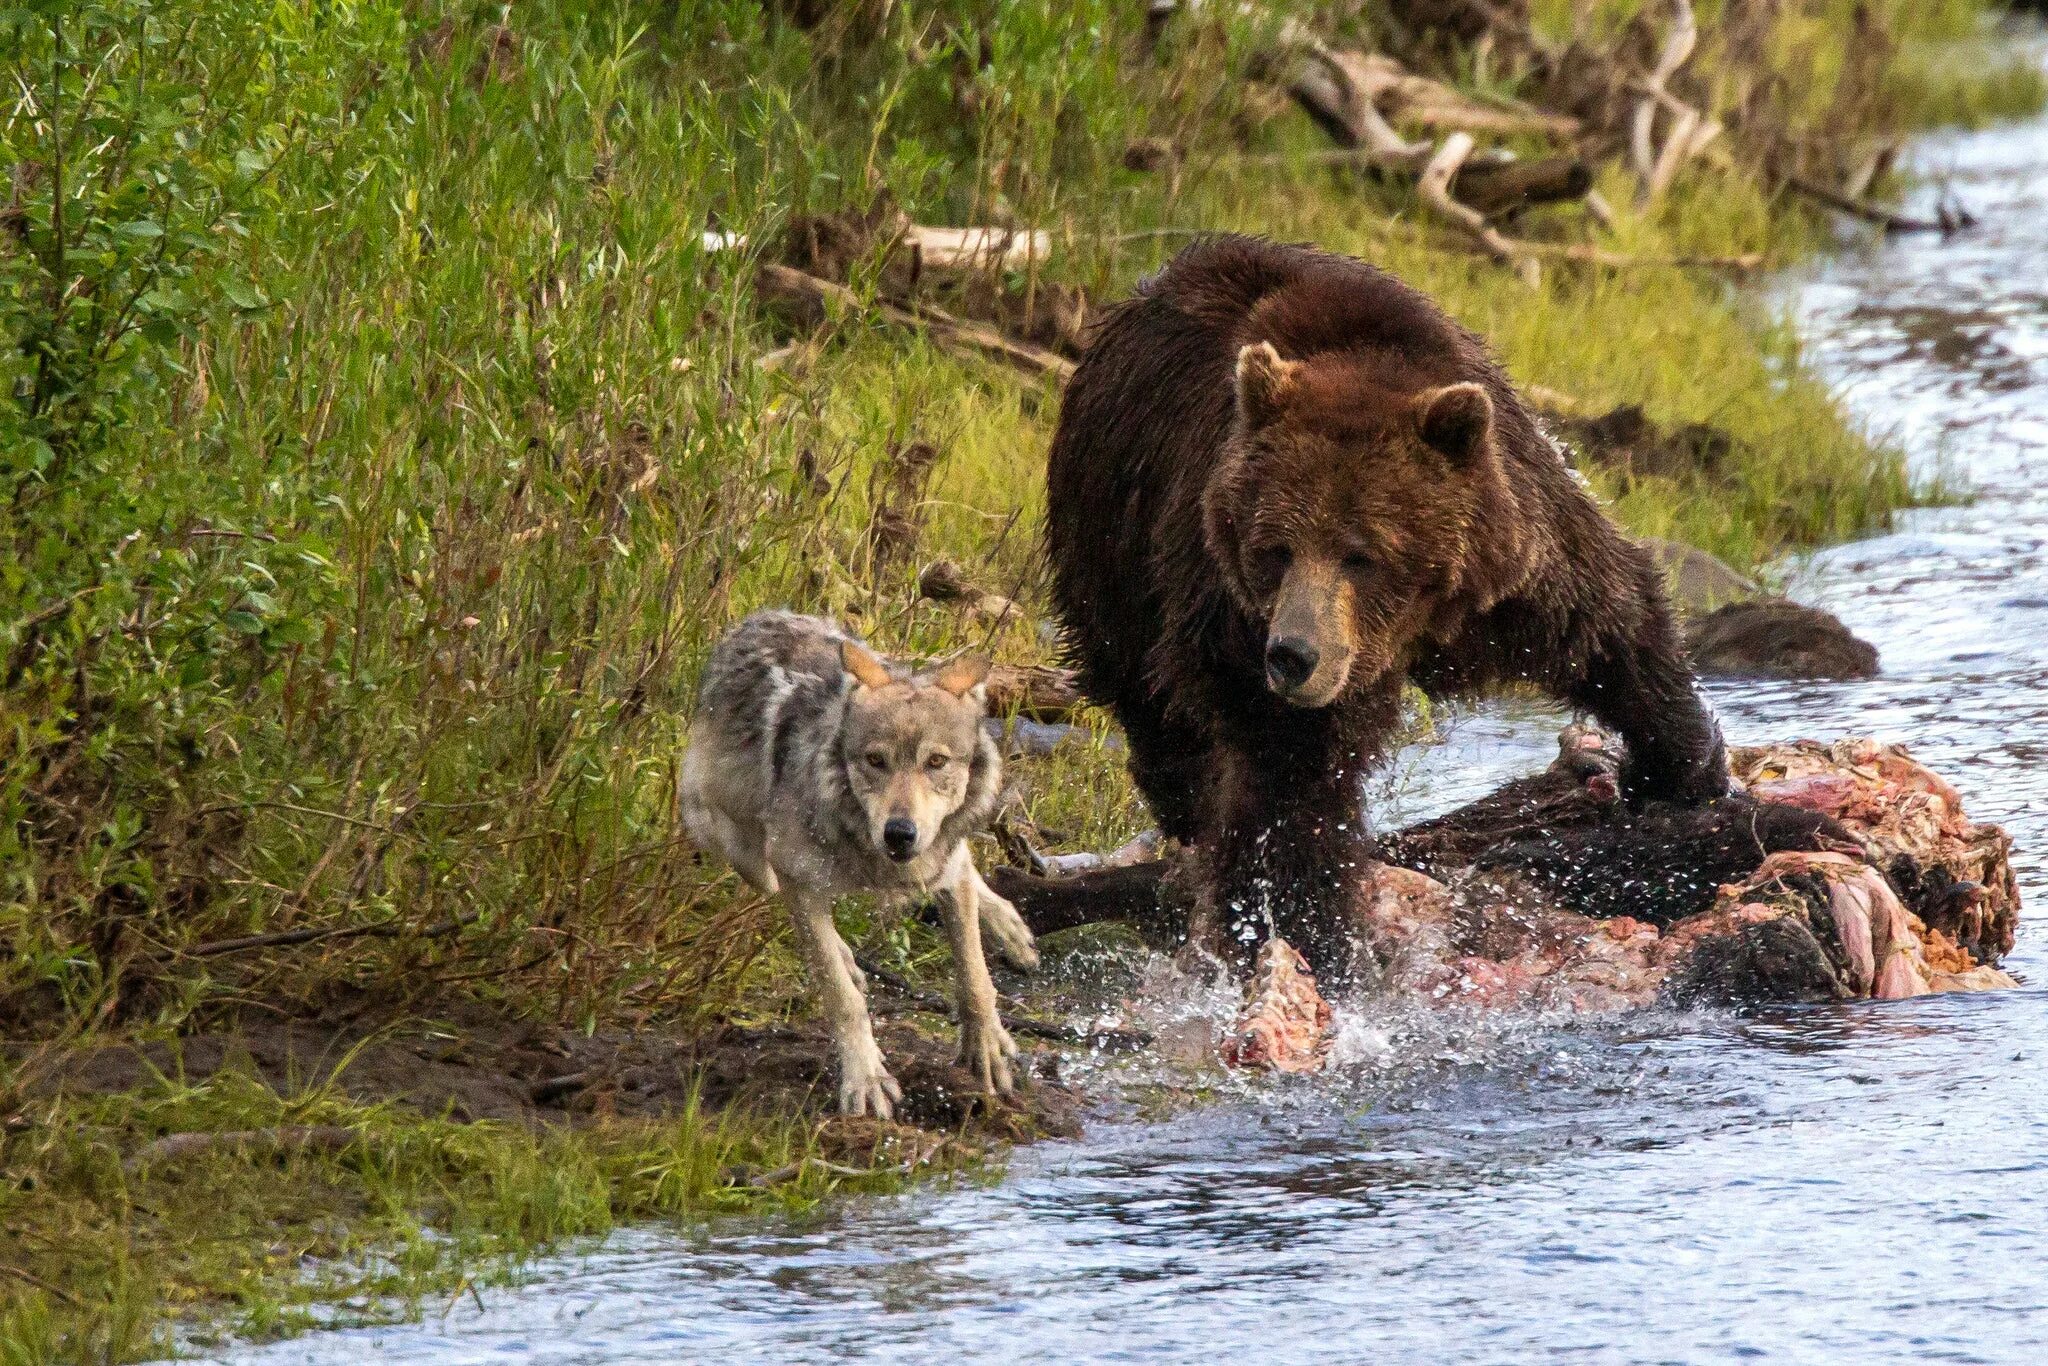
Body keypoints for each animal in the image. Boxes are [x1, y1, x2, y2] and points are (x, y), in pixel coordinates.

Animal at [684, 610, 1040, 1122]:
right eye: (875, 760)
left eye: (936, 762)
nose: (900, 832)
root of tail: (761, 618)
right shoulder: (798, 878)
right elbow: (841, 995)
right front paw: (866, 1078)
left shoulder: (942, 871)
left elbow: (974, 975)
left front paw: (987, 1047)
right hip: (733, 841)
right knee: (791, 907)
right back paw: (851, 961)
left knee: (967, 870)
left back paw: (1010, 929)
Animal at [1048, 235, 1736, 983]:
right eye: (1274, 549)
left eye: (1362, 554)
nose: (1292, 656)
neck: (1411, 624)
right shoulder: (1229, 604)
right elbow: (1292, 786)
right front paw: (1306, 932)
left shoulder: (1514, 556)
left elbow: (1608, 619)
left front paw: (1681, 769)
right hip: (1114, 547)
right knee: (1154, 707)